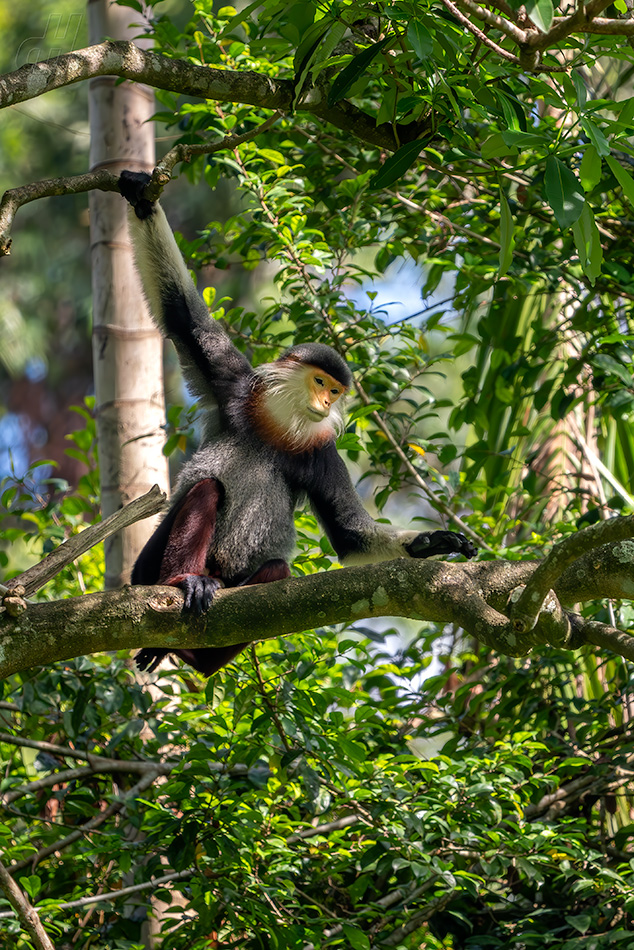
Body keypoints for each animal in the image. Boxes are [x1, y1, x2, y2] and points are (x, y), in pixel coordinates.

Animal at [118, 171, 474, 676]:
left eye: (336, 392)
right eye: (321, 382)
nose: (325, 402)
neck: (276, 427)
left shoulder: (321, 453)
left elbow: (349, 534)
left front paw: (432, 543)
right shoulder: (233, 387)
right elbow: (182, 314)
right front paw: (141, 196)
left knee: (276, 571)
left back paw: (194, 655)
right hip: (145, 568)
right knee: (206, 490)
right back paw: (183, 582)